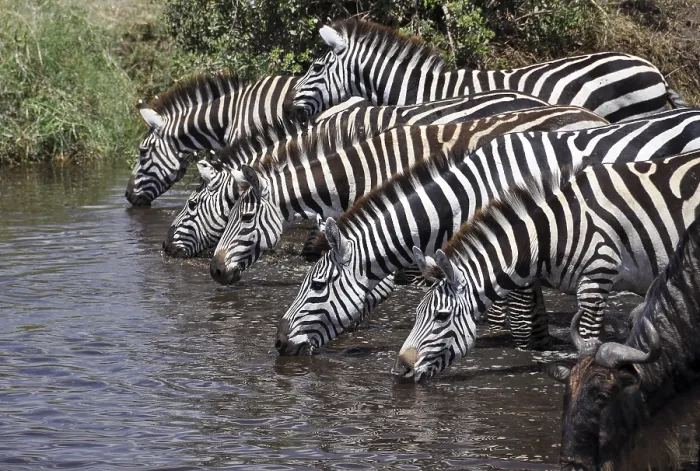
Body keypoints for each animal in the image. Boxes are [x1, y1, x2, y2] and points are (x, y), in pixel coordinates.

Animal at [394, 149, 700, 383]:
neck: (553, 233)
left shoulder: (596, 278)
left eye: (441, 317)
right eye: (417, 313)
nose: (400, 369)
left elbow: (588, 343)